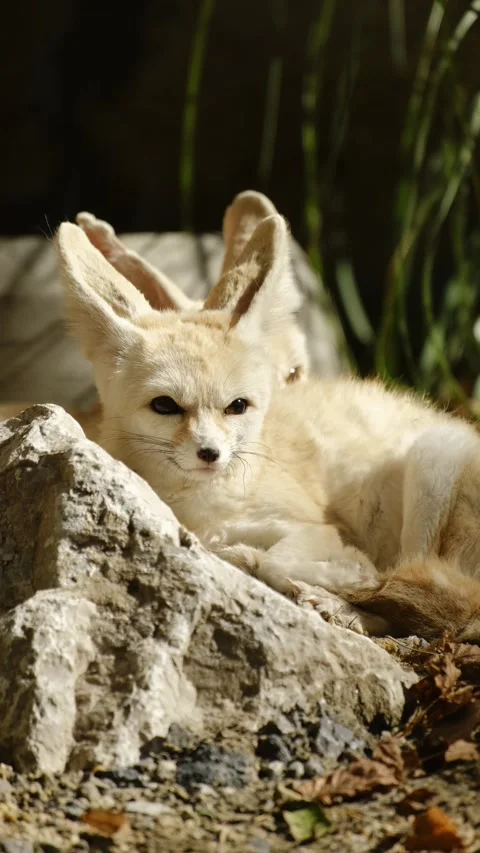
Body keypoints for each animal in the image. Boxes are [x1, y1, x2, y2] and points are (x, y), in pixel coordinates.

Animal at [55, 208, 480, 644]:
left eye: (237, 406)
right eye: (165, 405)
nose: (210, 454)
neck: (200, 510)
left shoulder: (319, 528)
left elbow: (292, 560)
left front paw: (341, 574)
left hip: (436, 454)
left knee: (444, 606)